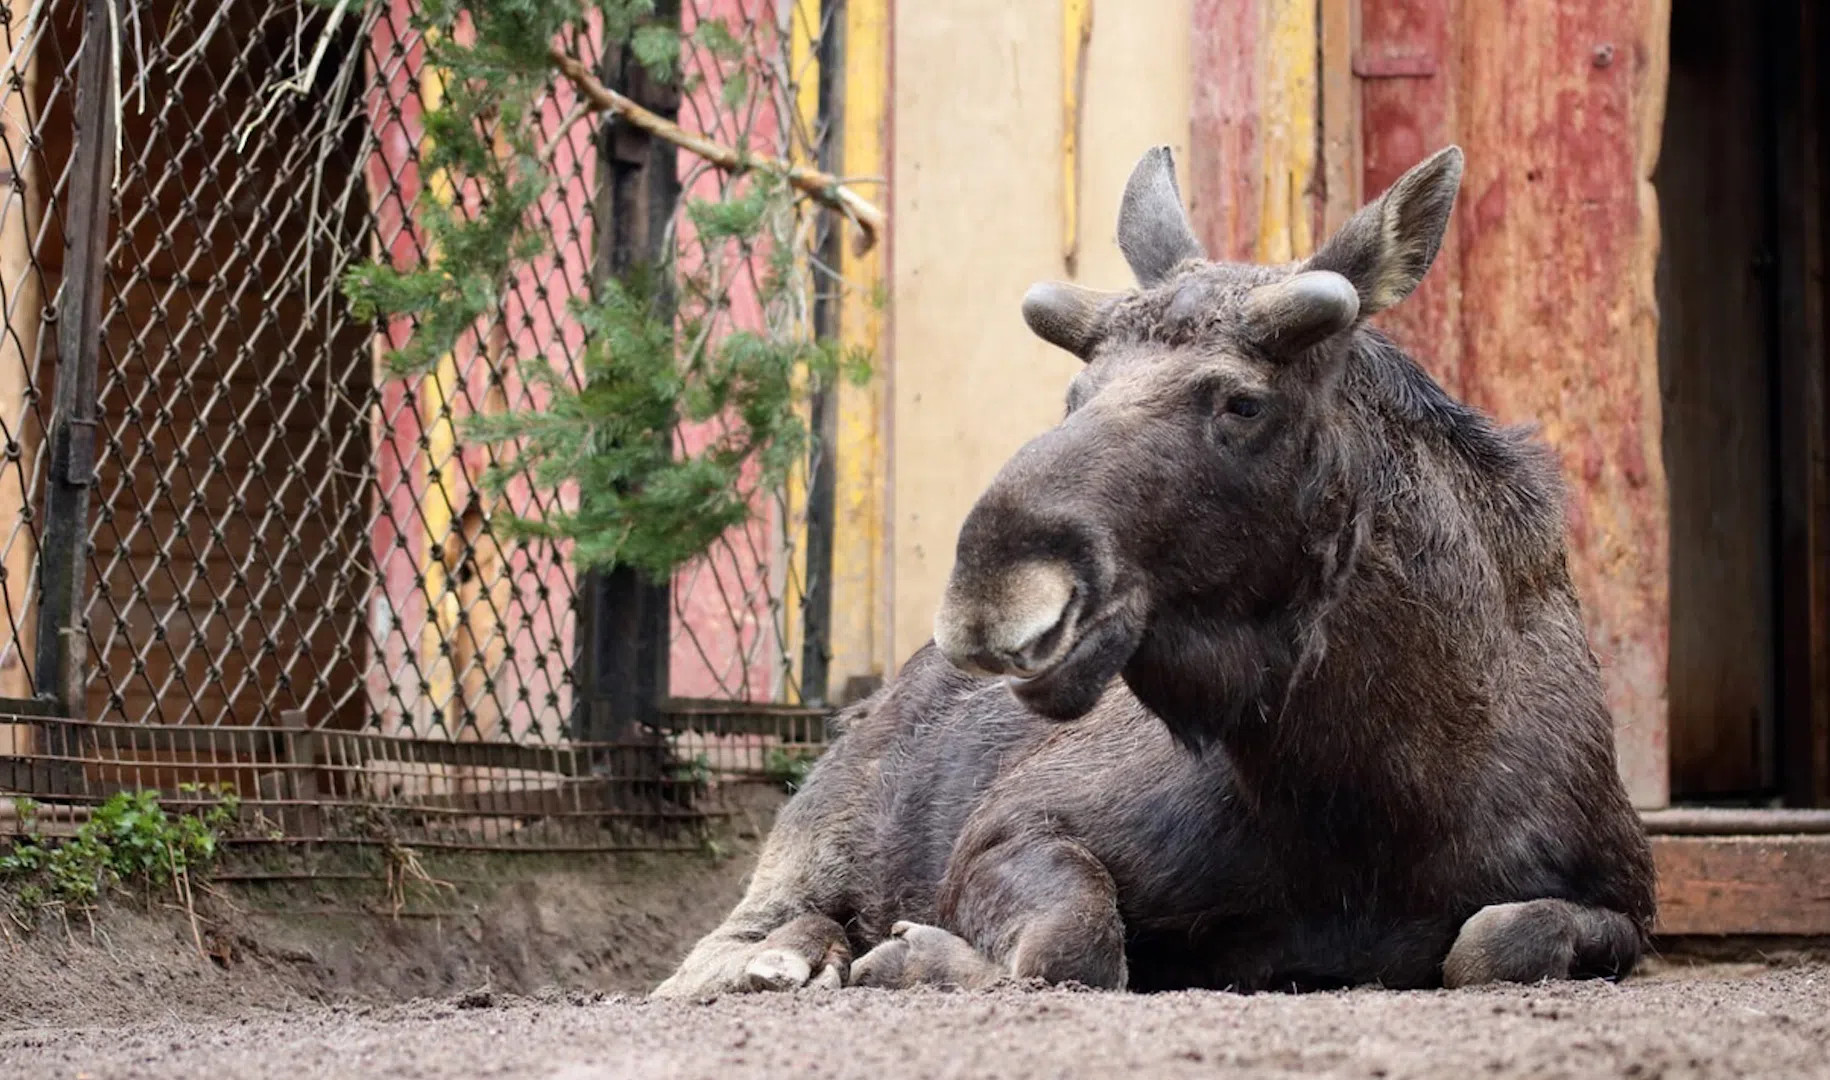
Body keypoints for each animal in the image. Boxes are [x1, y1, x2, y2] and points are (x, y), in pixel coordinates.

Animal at [655, 146, 1661, 995]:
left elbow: (1498, 939)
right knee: (734, 937)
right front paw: (918, 956)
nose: (992, 591)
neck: (1372, 794)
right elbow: (1073, 944)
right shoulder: (1010, 826)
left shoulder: (1623, 899)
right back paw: (776, 961)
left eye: (1243, 402)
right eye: (1076, 392)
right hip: (816, 832)